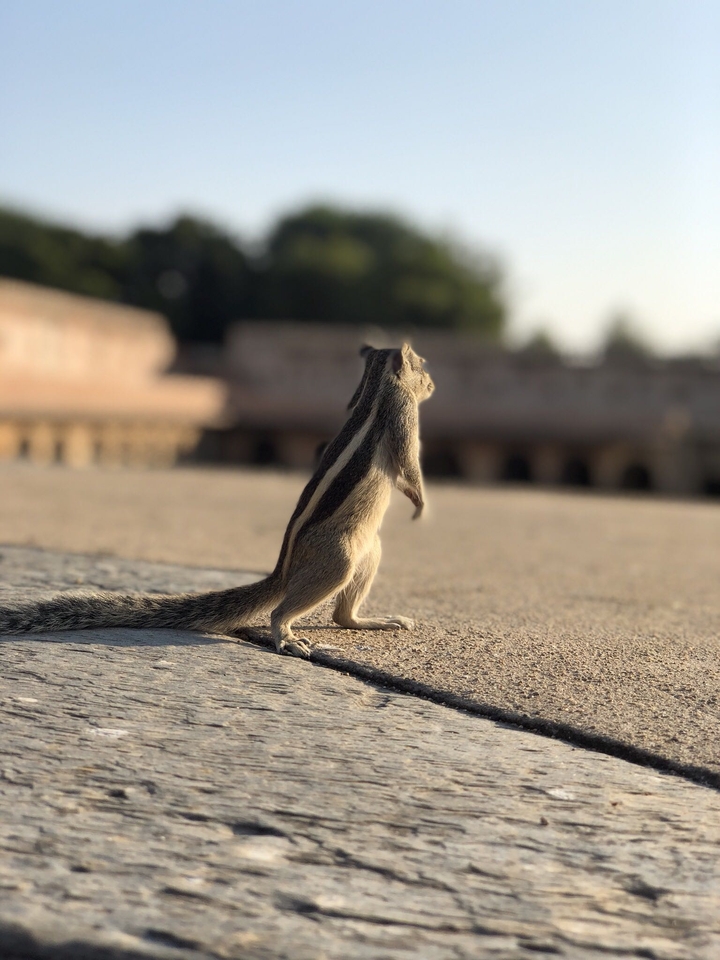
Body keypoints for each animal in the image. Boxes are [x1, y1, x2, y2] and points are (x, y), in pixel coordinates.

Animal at [0, 343, 434, 658]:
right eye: (423, 366)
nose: (432, 385)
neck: (377, 383)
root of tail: (283, 571)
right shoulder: (403, 416)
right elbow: (410, 465)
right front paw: (420, 505)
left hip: (369, 551)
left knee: (344, 615)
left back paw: (373, 622)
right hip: (338, 556)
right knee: (281, 611)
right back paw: (287, 637)